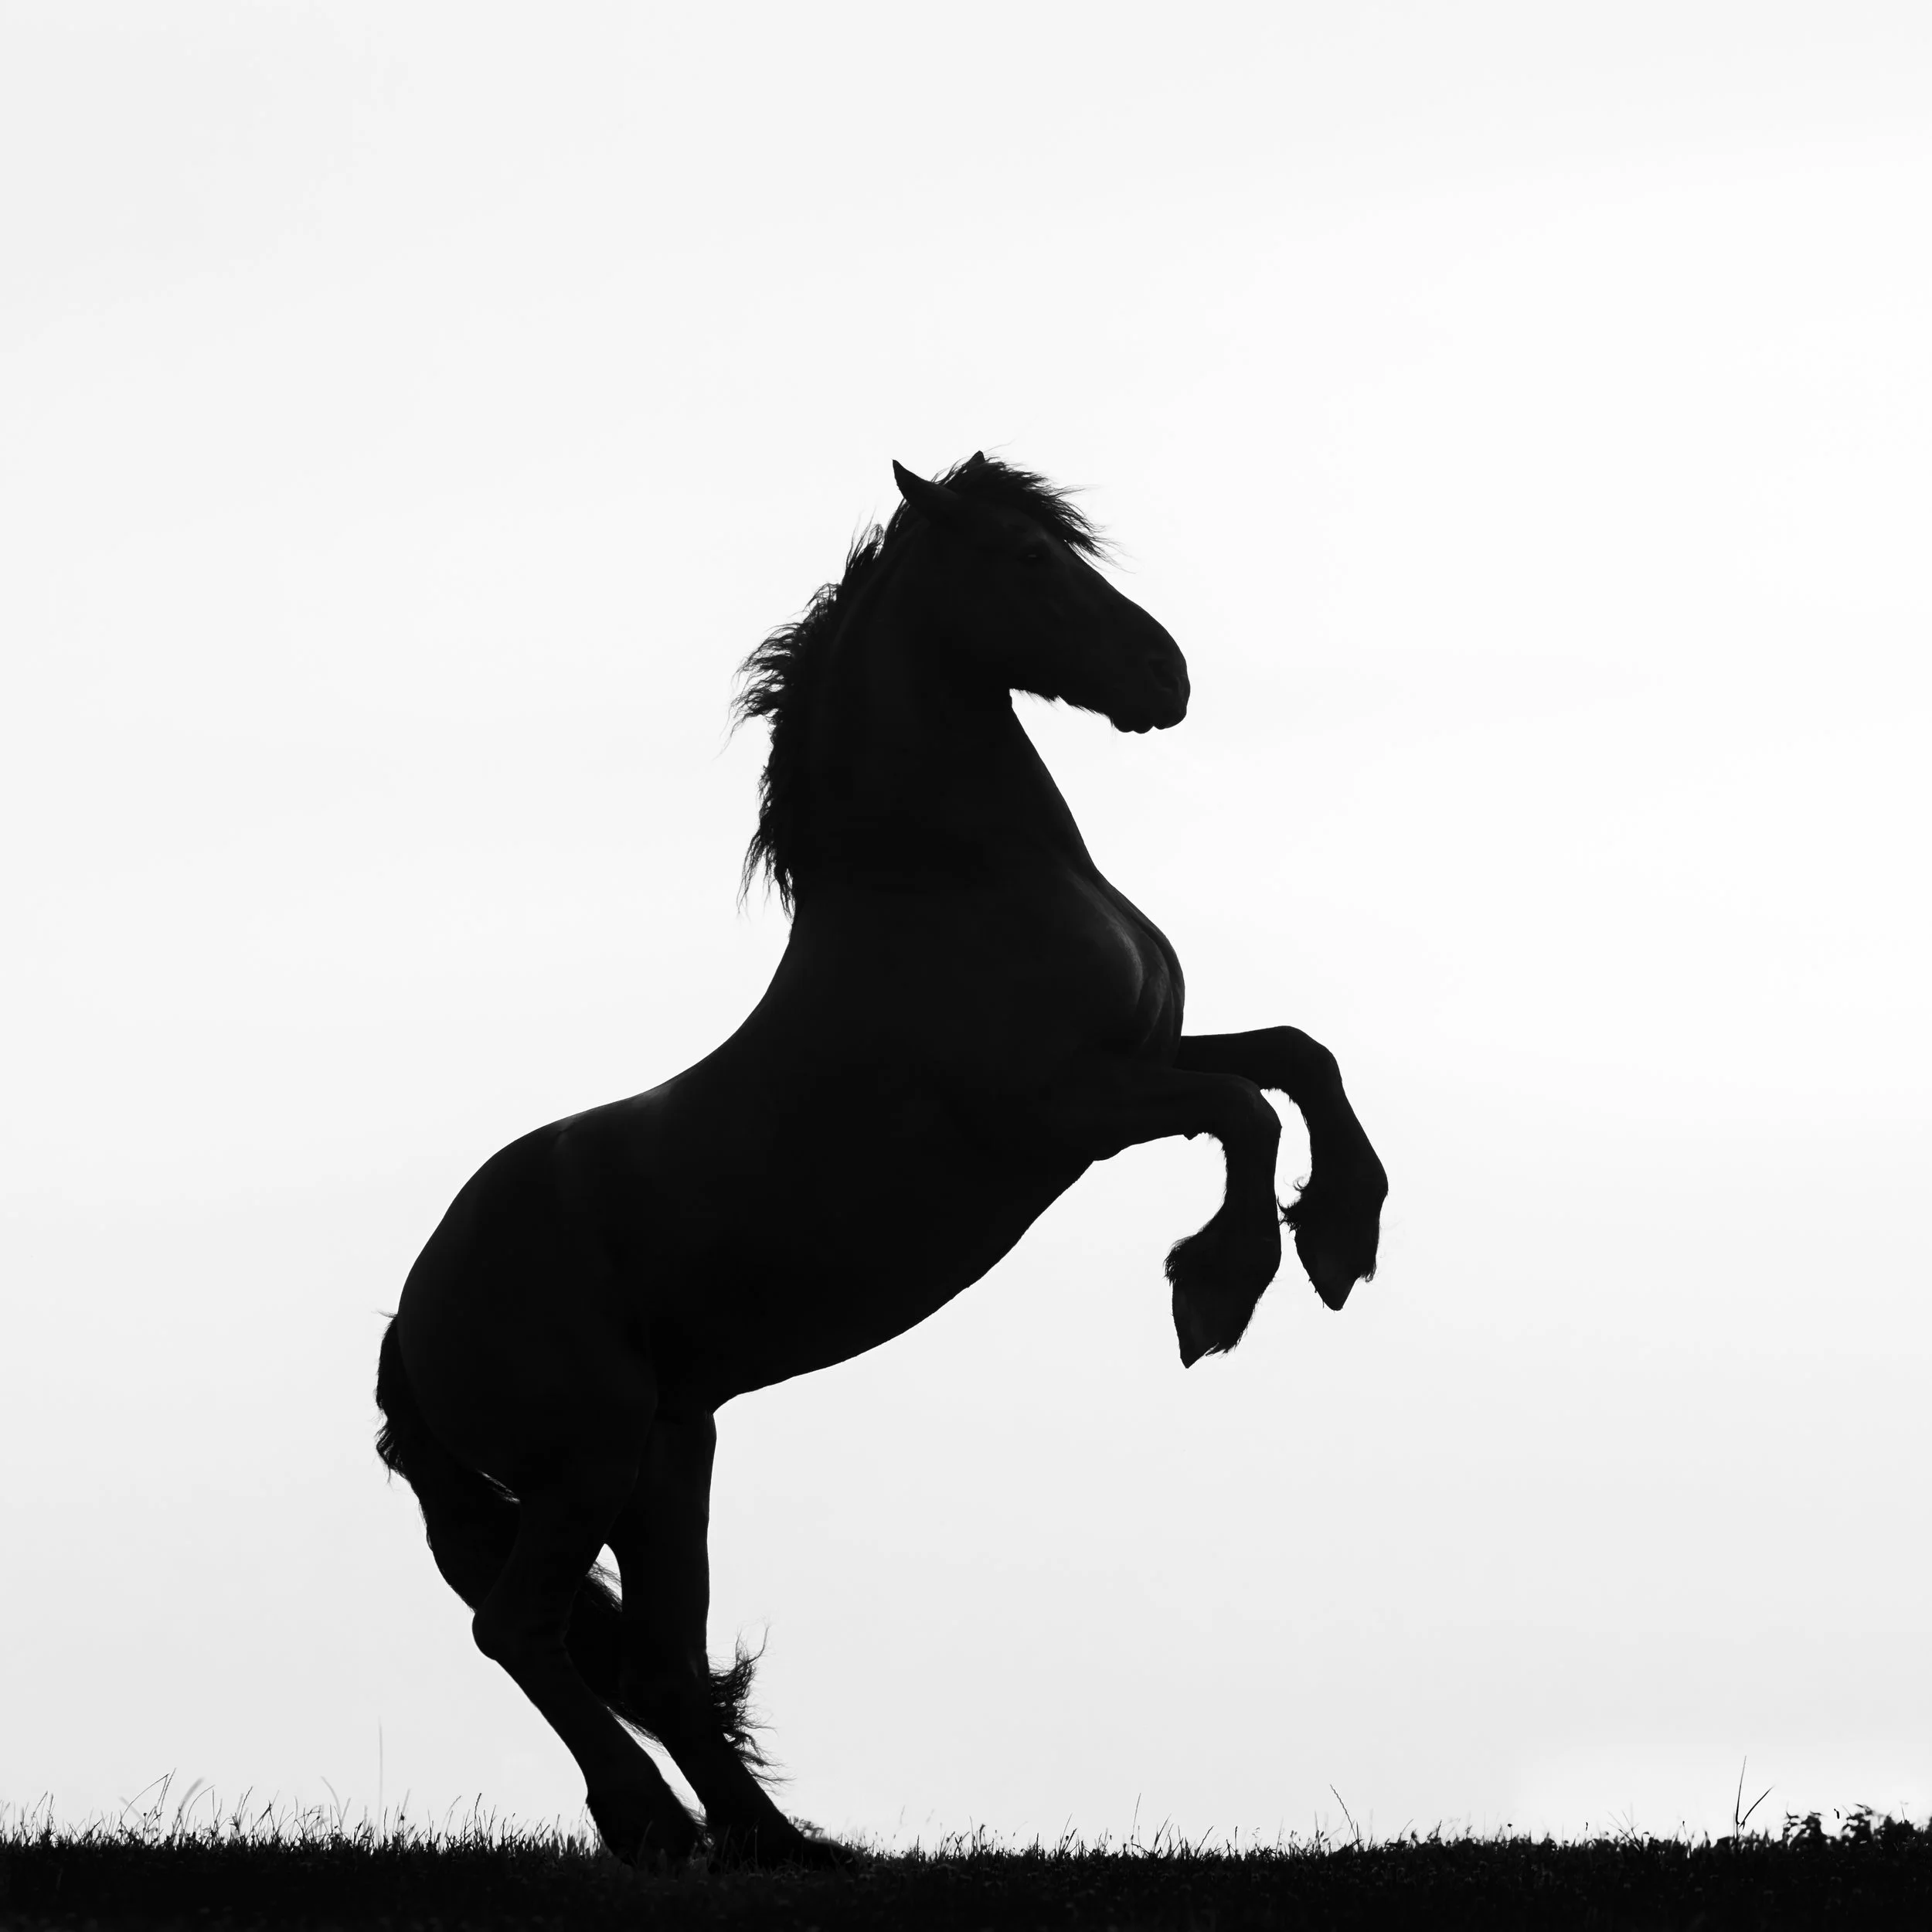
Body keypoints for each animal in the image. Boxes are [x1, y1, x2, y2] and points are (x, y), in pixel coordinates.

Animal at [374, 454, 1388, 1867]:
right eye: (1029, 558)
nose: (1165, 676)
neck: (954, 883)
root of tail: (412, 1329)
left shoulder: (1144, 1056)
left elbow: (1299, 1056)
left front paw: (1342, 1237)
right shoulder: (1067, 1113)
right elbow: (1246, 1107)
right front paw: (1218, 1289)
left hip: (667, 1459)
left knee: (663, 1666)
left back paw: (787, 1847)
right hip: (589, 1458)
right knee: (523, 1631)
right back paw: (652, 1827)